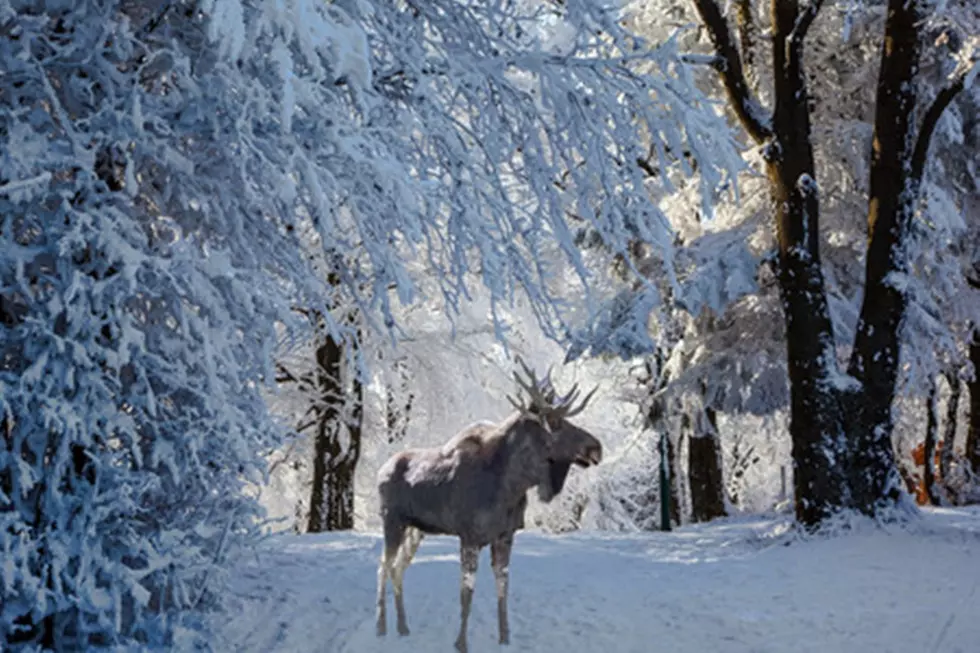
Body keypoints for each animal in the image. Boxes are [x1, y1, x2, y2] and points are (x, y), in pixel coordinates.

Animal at [378, 360, 604, 648]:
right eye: (555, 422)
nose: (596, 447)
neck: (511, 486)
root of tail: (380, 470)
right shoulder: (470, 536)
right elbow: (466, 591)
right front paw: (461, 643)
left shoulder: (505, 536)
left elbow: (503, 587)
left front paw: (505, 637)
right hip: (392, 522)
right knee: (383, 567)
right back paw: (381, 627)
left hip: (415, 530)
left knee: (397, 569)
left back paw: (403, 626)